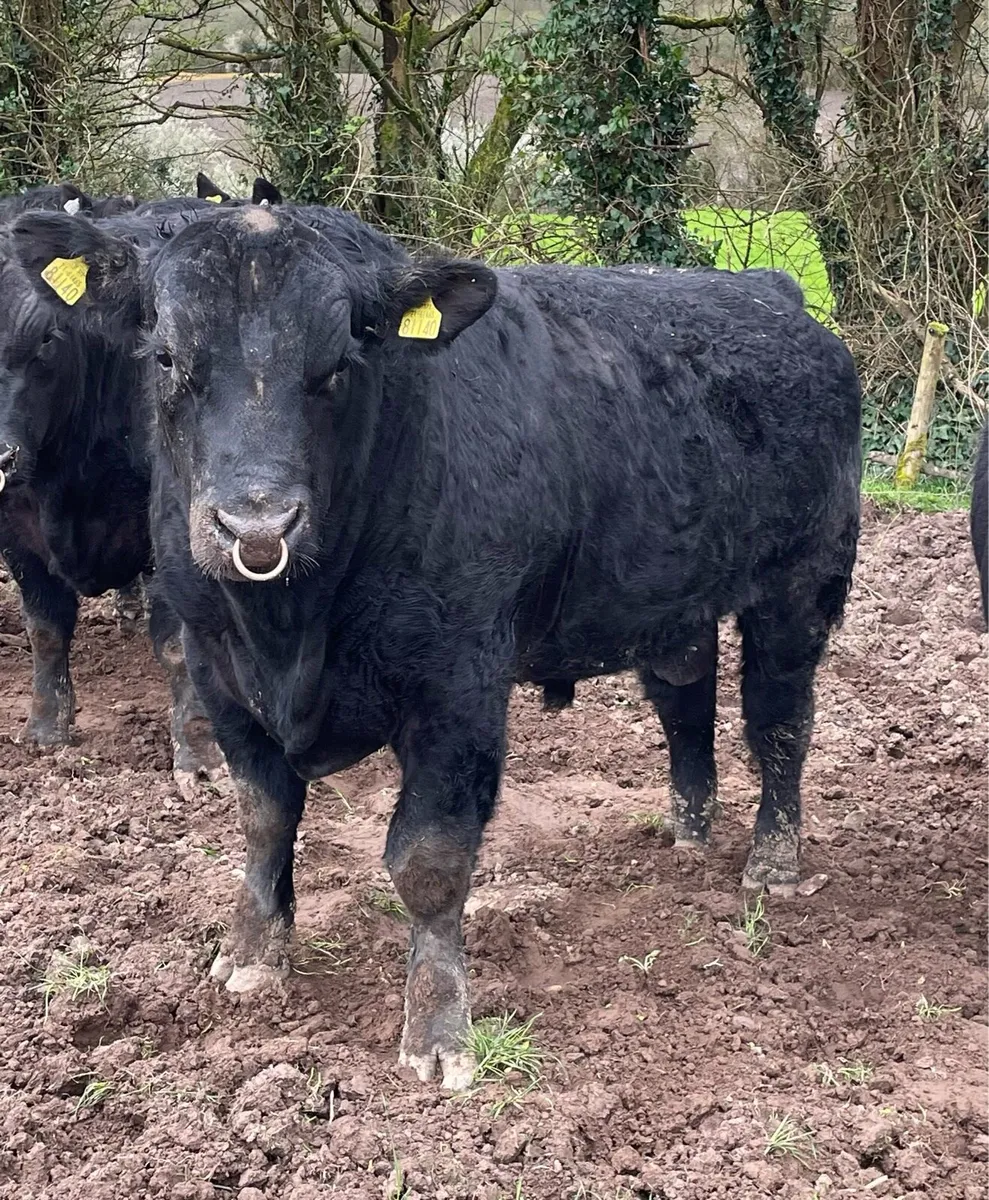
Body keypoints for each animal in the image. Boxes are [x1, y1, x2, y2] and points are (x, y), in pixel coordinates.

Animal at [0, 207, 222, 796]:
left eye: (47, 338)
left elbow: (175, 647)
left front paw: (198, 755)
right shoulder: (15, 533)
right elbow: (45, 630)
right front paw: (45, 730)